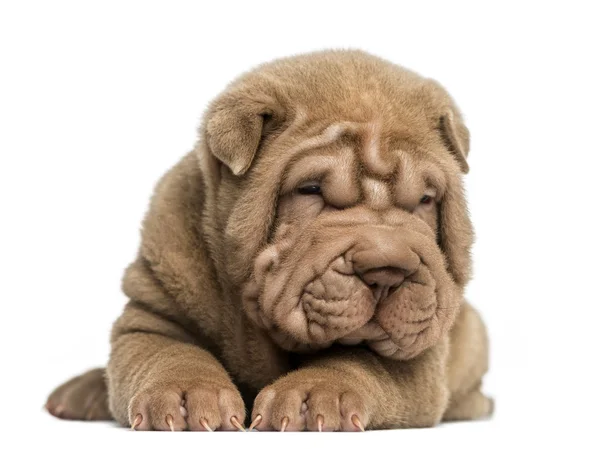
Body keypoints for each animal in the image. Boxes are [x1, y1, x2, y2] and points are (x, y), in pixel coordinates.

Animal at [45, 49, 492, 430]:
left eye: (426, 200)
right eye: (310, 190)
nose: (387, 271)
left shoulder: (420, 353)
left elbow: (361, 362)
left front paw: (314, 395)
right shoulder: (155, 311)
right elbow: (168, 352)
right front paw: (185, 394)